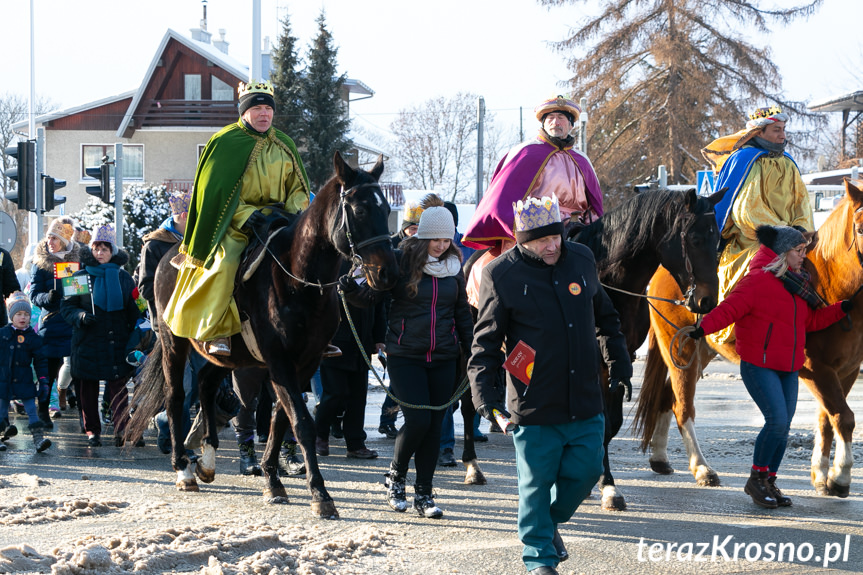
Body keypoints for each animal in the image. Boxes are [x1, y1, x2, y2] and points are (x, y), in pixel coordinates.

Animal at [127, 151, 398, 520]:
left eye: (385, 209)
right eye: (359, 210)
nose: (387, 274)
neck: (299, 280)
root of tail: (173, 253)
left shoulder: (305, 362)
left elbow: (281, 418)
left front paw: (273, 478)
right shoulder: (279, 360)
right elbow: (301, 422)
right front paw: (319, 493)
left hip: (227, 355)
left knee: (207, 385)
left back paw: (207, 460)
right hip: (175, 343)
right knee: (175, 397)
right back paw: (183, 468)